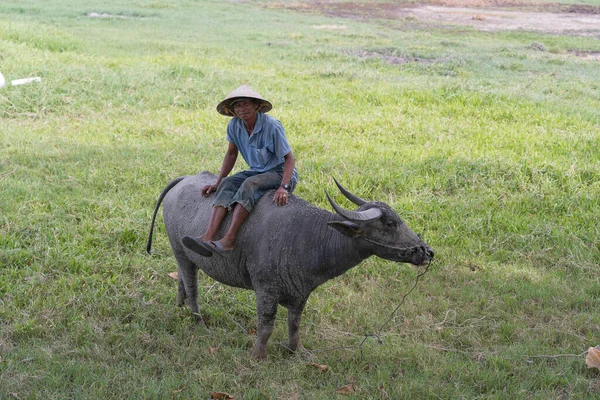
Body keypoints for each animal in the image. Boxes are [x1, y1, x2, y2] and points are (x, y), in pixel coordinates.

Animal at [148, 172, 434, 360]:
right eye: (390, 224)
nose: (427, 251)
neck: (308, 236)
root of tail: (184, 179)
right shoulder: (265, 289)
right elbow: (266, 326)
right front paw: (258, 357)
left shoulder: (301, 293)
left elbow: (294, 324)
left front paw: (295, 352)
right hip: (181, 252)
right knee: (192, 285)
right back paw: (197, 319)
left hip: (182, 257)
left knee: (181, 279)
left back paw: (180, 306)